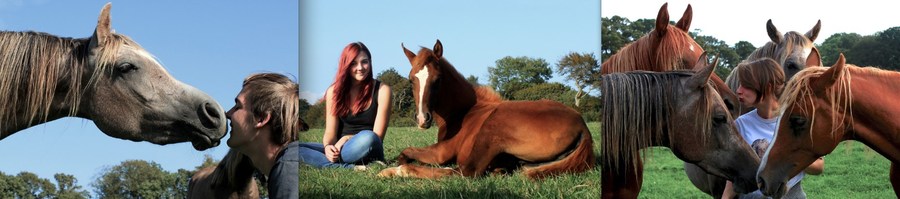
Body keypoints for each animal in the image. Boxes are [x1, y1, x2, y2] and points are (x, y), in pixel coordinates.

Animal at [376, 39, 596, 180]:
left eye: (438, 79)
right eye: (410, 79)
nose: (423, 119)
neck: (463, 112)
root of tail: (583, 126)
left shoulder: (441, 152)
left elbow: (408, 151)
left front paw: (395, 167)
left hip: (492, 128)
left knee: (464, 173)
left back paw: (397, 171)